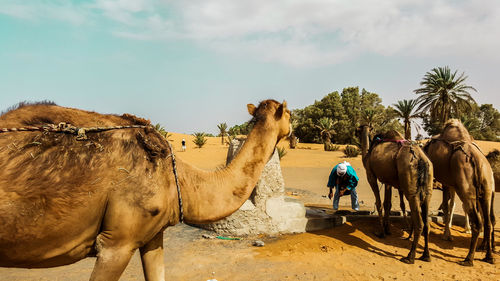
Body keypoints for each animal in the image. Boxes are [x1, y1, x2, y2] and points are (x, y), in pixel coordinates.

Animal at [358, 124, 436, 262]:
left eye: (359, 129)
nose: (356, 132)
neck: (367, 155)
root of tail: (421, 160)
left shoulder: (371, 175)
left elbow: (379, 203)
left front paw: (381, 232)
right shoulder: (387, 180)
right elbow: (387, 203)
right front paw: (387, 229)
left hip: (411, 189)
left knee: (420, 222)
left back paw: (410, 256)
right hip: (428, 189)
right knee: (427, 222)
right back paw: (426, 256)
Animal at [422, 118, 496, 264]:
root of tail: (477, 161)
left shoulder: (446, 182)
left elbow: (446, 206)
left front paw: (447, 235)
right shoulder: (451, 183)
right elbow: (450, 205)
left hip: (466, 190)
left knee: (477, 222)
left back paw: (469, 258)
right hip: (487, 190)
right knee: (488, 222)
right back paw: (488, 256)